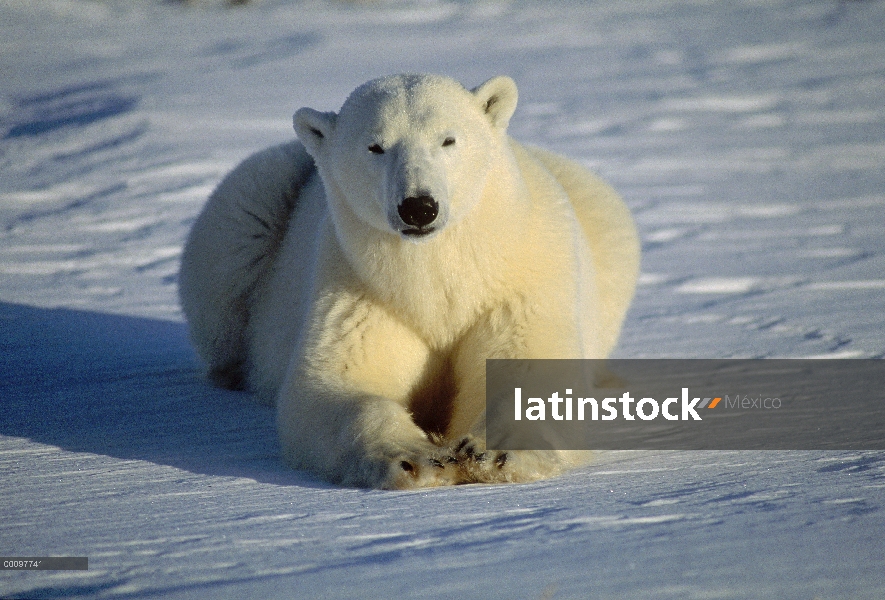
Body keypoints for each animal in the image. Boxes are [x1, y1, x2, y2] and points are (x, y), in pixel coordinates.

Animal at [178, 74, 636, 488]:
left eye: (448, 140)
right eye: (375, 146)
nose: (418, 207)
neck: (434, 274)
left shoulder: (520, 283)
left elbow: (530, 367)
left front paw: (492, 454)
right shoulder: (358, 289)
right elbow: (335, 384)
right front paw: (418, 458)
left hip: (598, 214)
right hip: (255, 205)